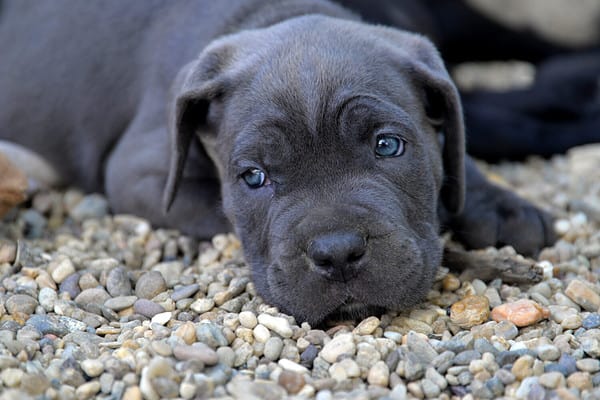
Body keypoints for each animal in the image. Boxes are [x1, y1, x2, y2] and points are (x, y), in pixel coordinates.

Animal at [0, 0, 552, 324]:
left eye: (388, 146)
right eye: (254, 177)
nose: (337, 253)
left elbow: (454, 153)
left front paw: (499, 205)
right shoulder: (140, 173)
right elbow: (219, 209)